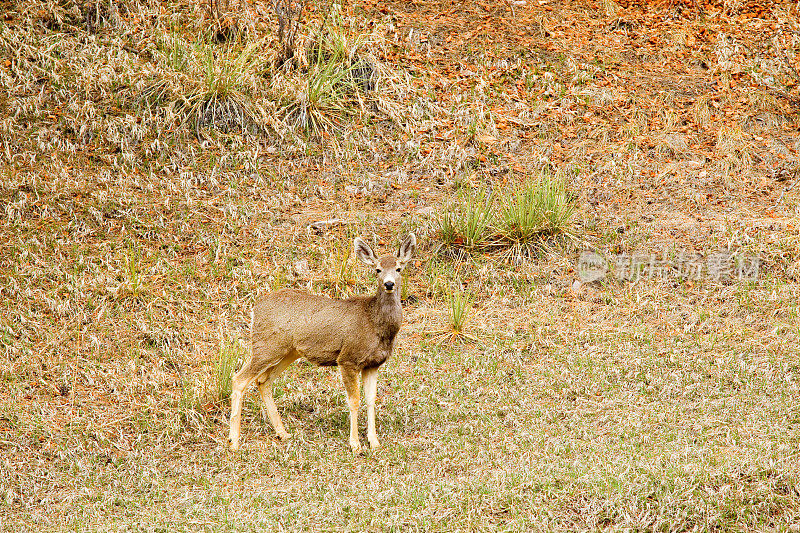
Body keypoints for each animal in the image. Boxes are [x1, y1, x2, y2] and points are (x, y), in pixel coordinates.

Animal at [230, 233, 418, 454]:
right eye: (378, 269)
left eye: (398, 268)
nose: (389, 284)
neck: (374, 323)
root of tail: (255, 308)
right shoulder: (347, 358)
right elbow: (354, 401)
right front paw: (355, 444)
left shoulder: (373, 364)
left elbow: (371, 400)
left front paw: (374, 441)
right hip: (266, 345)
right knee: (239, 379)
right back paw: (234, 441)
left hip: (288, 351)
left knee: (263, 380)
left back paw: (282, 433)